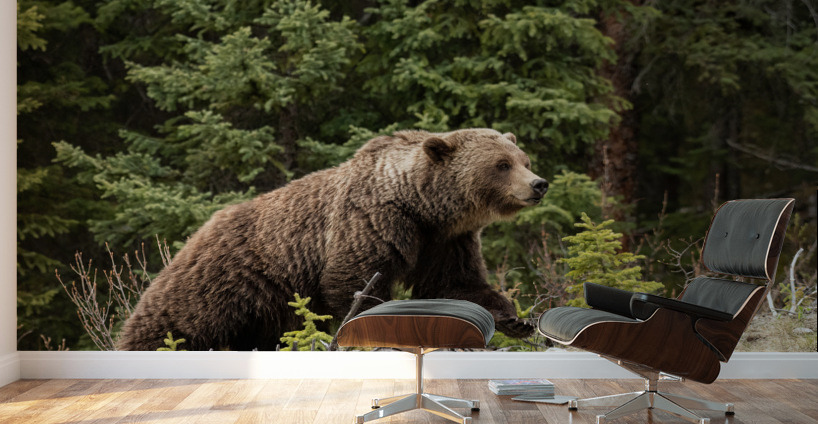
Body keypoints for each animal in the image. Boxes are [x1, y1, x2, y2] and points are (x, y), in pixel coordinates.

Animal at [117, 128, 549, 351]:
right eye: (501, 164)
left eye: (524, 159)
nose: (539, 184)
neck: (422, 206)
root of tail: (197, 232)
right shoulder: (372, 223)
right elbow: (354, 282)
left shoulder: (445, 241)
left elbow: (454, 283)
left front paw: (515, 318)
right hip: (221, 283)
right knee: (170, 324)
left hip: (265, 308)